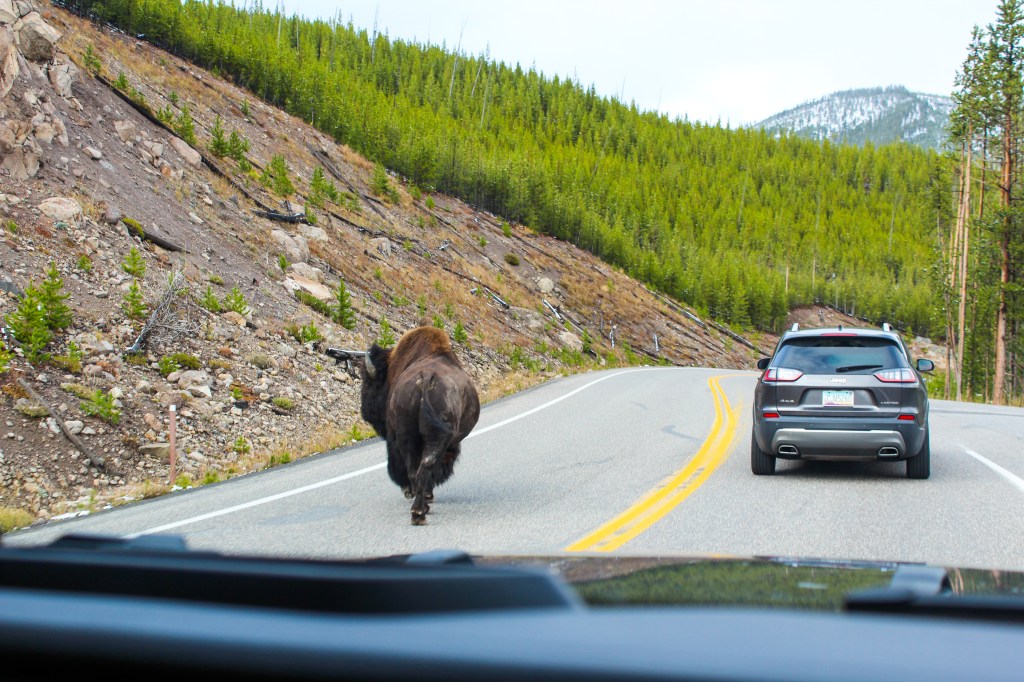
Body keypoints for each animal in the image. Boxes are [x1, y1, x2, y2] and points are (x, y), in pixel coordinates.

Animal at [360, 326, 480, 525]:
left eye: (370, 384)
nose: (365, 410)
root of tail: (425, 377)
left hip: (410, 437)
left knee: (417, 469)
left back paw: (418, 510)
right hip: (431, 439)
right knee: (424, 467)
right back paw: (420, 510)